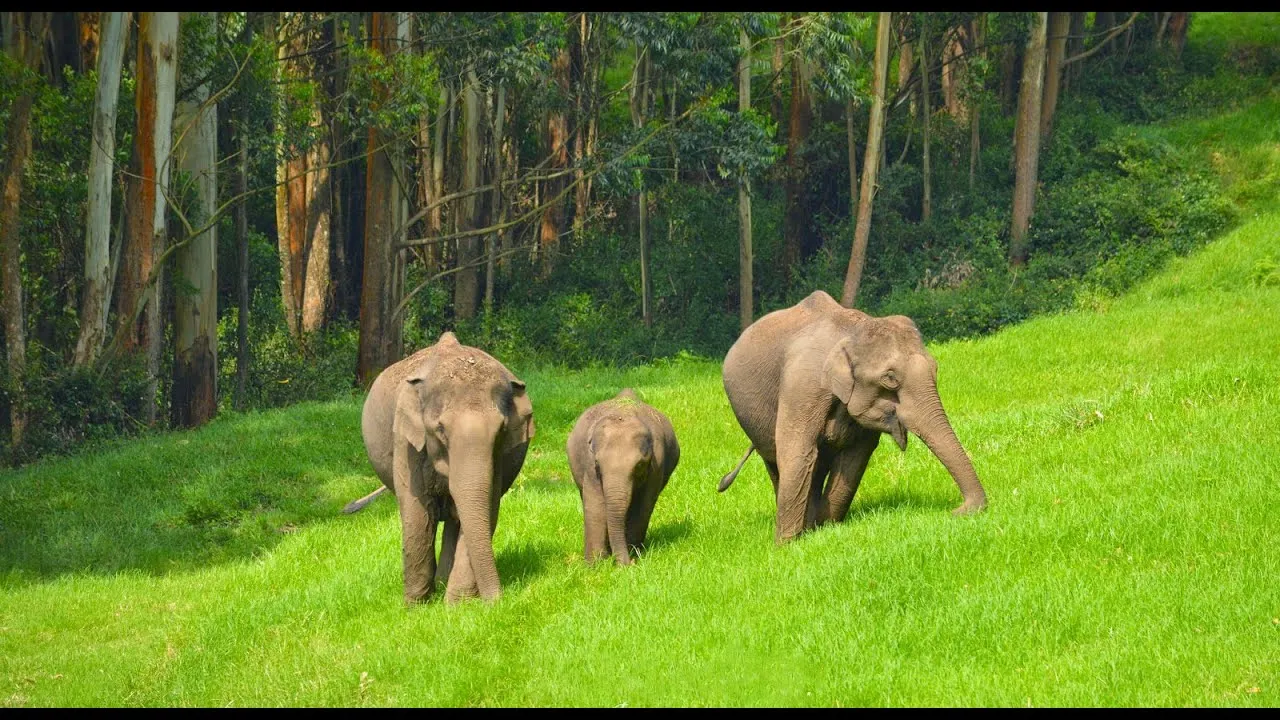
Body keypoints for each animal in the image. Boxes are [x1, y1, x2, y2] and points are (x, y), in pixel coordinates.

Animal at [345, 331, 535, 605]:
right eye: (440, 430)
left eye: (501, 430)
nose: (497, 602)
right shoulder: (405, 441)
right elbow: (417, 513)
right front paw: (415, 606)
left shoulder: (498, 455)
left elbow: (487, 508)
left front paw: (457, 605)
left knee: (456, 519)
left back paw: (444, 582)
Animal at [566, 389, 679, 566]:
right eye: (598, 463)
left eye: (639, 465)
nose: (628, 563)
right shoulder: (589, 465)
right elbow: (595, 504)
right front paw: (595, 564)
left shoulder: (657, 465)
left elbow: (643, 504)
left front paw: (633, 554)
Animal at [718, 290, 986, 544]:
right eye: (890, 378)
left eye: (936, 368)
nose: (957, 511)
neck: (852, 330)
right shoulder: (801, 387)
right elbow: (798, 453)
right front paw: (787, 546)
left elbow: (854, 457)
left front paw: (825, 529)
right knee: (777, 463)